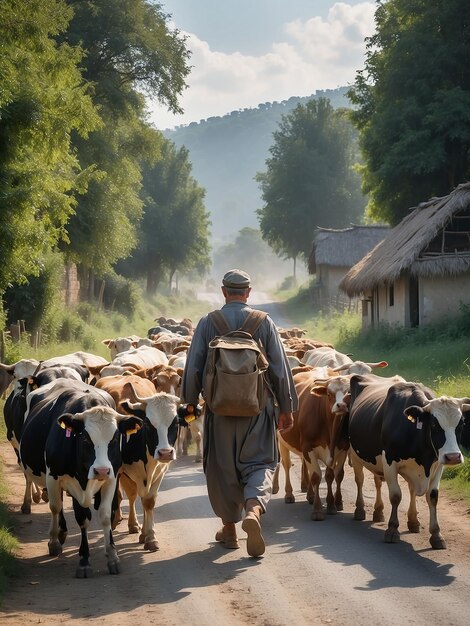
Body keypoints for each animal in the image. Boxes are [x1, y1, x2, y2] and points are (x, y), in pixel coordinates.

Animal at [20, 376, 141, 576]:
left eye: (115, 438)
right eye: (85, 438)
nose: (101, 470)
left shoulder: (111, 478)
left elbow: (105, 515)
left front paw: (113, 557)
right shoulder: (56, 478)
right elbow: (77, 516)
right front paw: (83, 560)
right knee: (56, 506)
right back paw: (56, 538)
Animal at [348, 372, 470, 548]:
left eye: (461, 424)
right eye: (434, 424)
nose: (453, 456)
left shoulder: (437, 465)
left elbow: (432, 496)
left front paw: (436, 535)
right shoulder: (389, 461)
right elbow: (395, 495)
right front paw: (392, 530)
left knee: (393, 485)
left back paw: (405, 519)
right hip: (355, 455)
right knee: (360, 480)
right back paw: (360, 510)